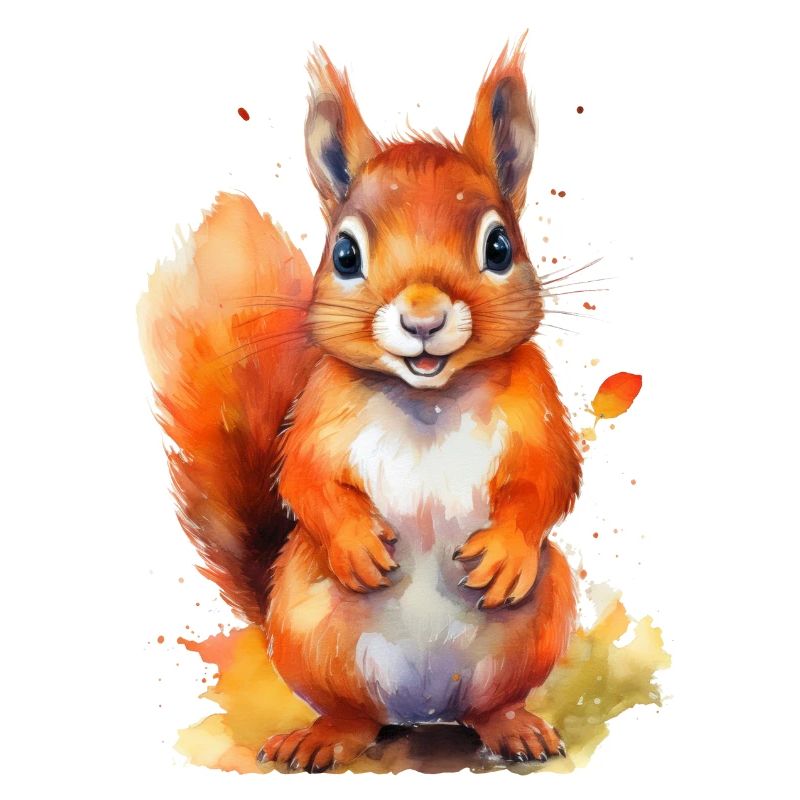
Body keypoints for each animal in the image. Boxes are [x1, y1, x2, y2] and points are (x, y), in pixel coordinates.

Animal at [139, 42, 582, 772]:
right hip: (310, 629)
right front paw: (355, 543)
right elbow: (304, 477)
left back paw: (515, 728)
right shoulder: (319, 413)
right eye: (344, 254)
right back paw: (321, 738)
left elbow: (552, 475)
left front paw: (506, 551)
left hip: (539, 618)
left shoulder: (538, 408)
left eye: (499, 247)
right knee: (354, 713)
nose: (424, 319)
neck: (429, 397)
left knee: (490, 707)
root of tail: (425, 707)